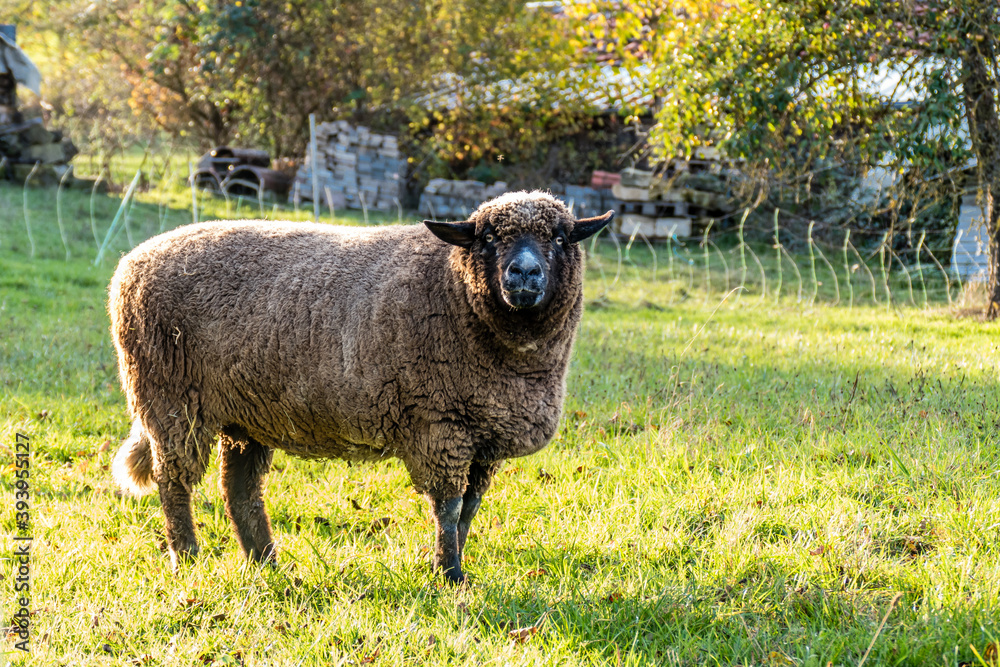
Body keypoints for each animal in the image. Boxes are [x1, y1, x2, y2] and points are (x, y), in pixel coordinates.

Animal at [109, 190, 613, 583]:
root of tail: (132, 261)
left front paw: (453, 563)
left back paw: (268, 564)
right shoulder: (440, 425)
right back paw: (188, 560)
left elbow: (469, 509)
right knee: (173, 483)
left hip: (244, 413)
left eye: (560, 238)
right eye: (488, 238)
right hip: (170, 399)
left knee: (241, 493)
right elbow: (449, 507)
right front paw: (449, 575)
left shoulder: (485, 438)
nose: (524, 274)